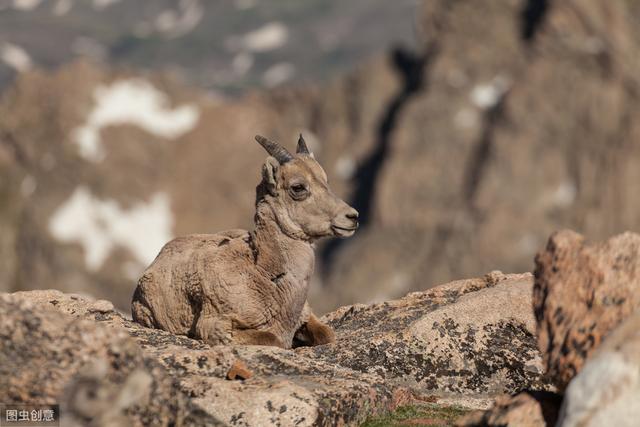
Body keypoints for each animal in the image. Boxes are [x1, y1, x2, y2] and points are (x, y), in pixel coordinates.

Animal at [130, 135, 360, 350]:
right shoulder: (217, 326)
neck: (262, 273)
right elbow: (273, 340)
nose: (352, 217)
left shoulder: (307, 315)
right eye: (298, 187)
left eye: (325, 180)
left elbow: (327, 335)